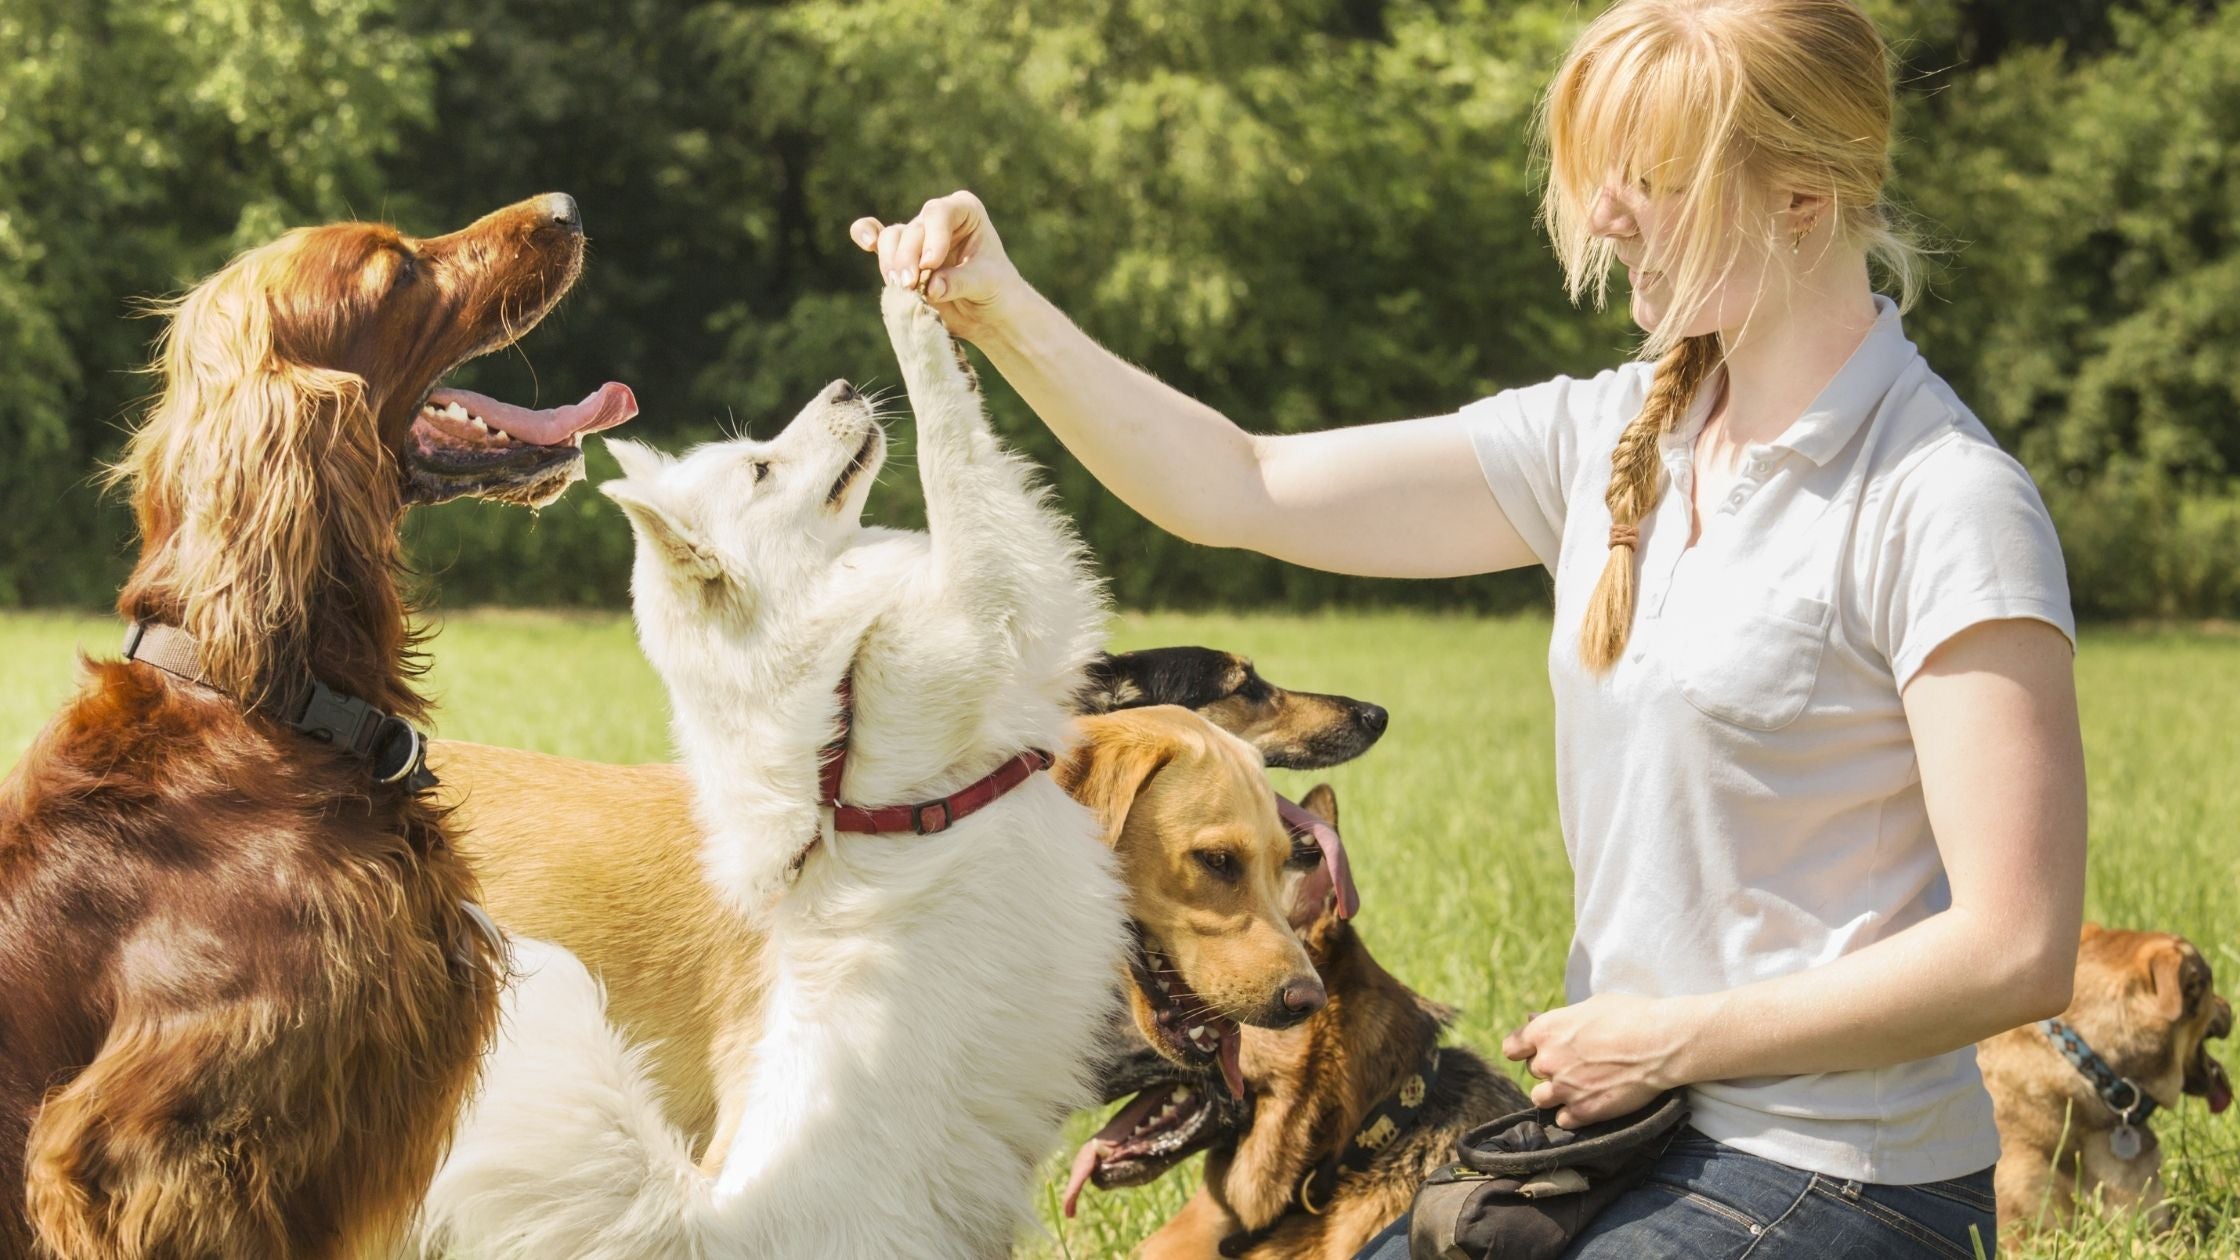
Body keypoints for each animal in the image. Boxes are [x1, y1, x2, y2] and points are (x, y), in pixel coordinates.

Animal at [414, 289, 1128, 1246]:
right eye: (760, 469)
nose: (840, 386)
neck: (839, 701)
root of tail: (711, 1223)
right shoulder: (997, 603)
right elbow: (956, 450)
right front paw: (911, 315)